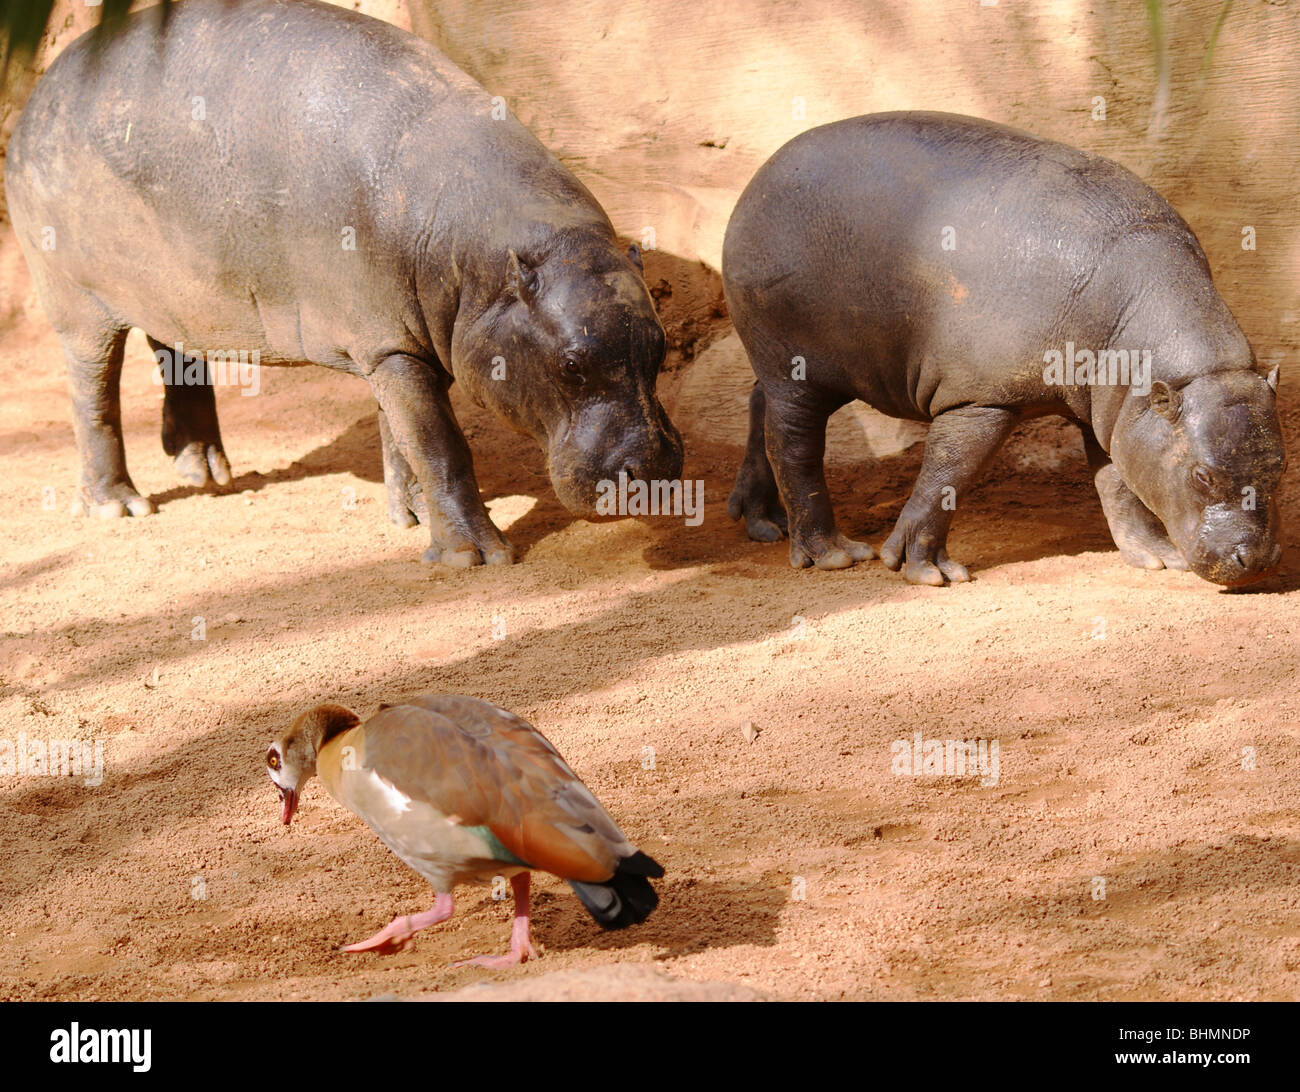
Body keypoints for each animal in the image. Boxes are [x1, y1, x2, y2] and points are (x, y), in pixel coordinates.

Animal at [7, 0, 681, 566]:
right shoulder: (392, 346)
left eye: (661, 347)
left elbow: (403, 434)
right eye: (570, 367)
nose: (649, 472)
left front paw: (411, 519)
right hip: (77, 301)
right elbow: (439, 445)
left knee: (176, 353)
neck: (490, 257)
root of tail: (38, 95)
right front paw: (476, 557)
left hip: (174, 285)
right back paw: (121, 506)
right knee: (93, 394)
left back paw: (208, 471)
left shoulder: (400, 340)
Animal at [728, 109, 1284, 585]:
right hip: (795, 368)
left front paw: (1157, 559)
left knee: (758, 408)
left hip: (788, 365)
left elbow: (1118, 482)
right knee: (793, 446)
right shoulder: (981, 400)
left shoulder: (1112, 411)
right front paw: (928, 572)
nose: (1256, 561)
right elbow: (946, 477)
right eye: (1202, 475)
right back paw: (835, 554)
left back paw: (764, 523)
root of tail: (756, 180)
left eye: (1281, 466)